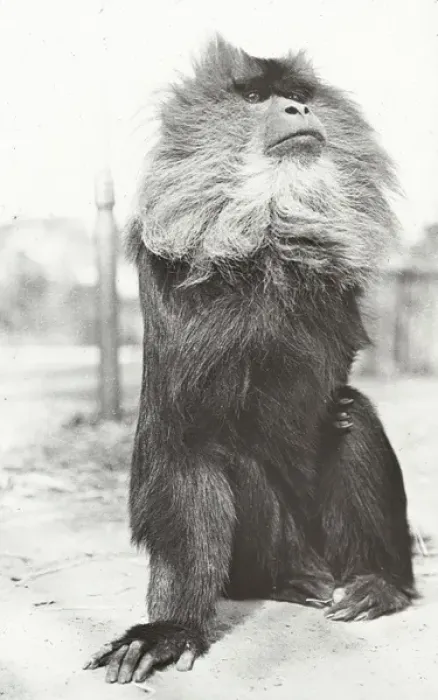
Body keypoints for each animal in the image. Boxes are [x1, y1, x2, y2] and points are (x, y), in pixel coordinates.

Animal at [84, 36, 415, 684]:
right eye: (259, 98)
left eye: (297, 95)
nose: (297, 110)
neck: (268, 240)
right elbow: (185, 442)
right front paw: (171, 627)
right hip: (271, 552)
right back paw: (291, 581)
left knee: (353, 414)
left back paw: (377, 583)